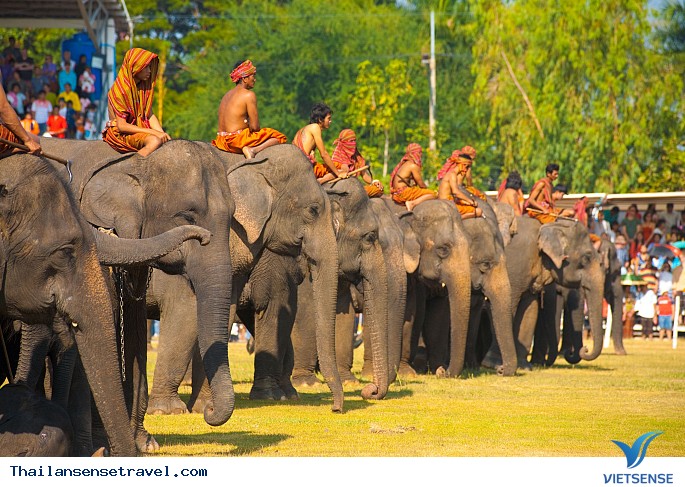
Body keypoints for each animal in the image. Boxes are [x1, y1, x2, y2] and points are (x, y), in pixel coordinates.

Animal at [40, 137, 234, 451]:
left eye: (232, 218)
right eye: (187, 215)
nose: (209, 411)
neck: (135, 162)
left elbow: (135, 332)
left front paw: (145, 443)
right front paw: (104, 443)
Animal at [481, 217, 606, 370]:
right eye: (586, 258)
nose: (585, 349)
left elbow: (530, 309)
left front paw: (525, 367)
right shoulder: (515, 266)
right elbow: (507, 305)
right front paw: (493, 365)